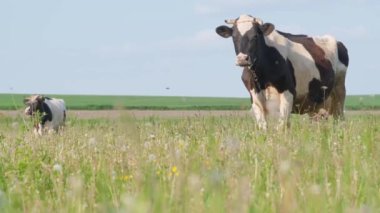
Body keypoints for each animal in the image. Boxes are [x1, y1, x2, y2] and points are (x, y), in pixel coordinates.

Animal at [215, 14, 348, 130]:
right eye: (234, 37)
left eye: (256, 36)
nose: (242, 59)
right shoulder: (255, 97)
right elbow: (263, 126)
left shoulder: (288, 92)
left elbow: (282, 126)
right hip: (316, 101)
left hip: (339, 91)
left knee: (339, 118)